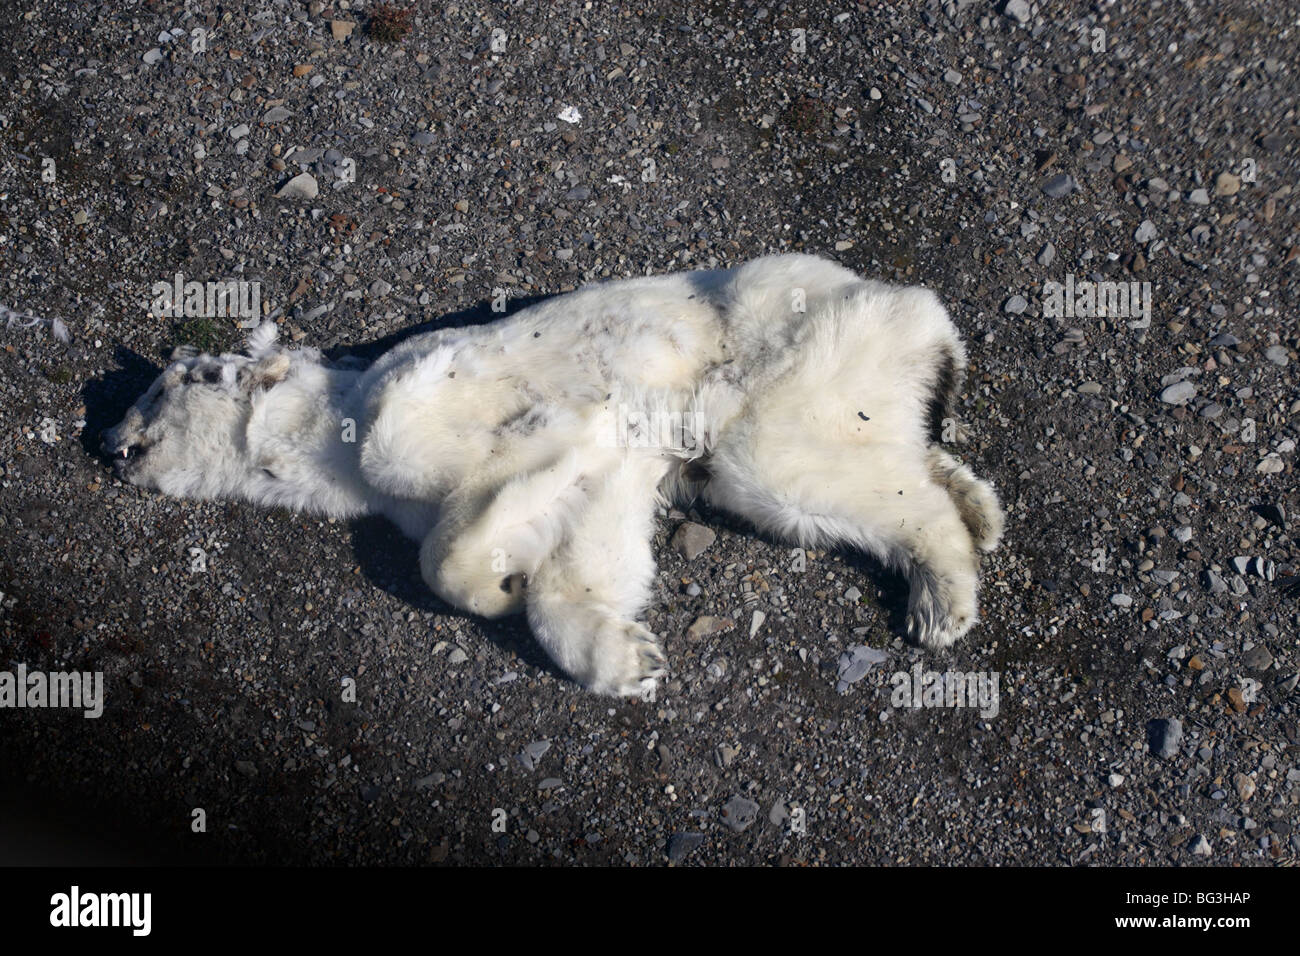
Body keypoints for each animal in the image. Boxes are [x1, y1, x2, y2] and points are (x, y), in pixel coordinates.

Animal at [109, 254, 1003, 697]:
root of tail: (918, 313)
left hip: (799, 356)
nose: (112, 442)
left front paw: (492, 584)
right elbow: (587, 552)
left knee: (778, 464)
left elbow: (467, 507)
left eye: (172, 382)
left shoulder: (409, 402)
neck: (337, 418)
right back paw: (979, 509)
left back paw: (942, 601)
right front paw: (630, 658)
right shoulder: (602, 483)